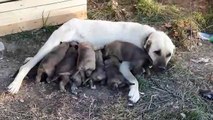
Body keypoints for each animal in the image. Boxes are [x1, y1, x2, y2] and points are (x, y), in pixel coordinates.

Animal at [8, 18, 175, 103]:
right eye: (157, 52)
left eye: (169, 55)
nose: (162, 69)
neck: (146, 36)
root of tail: (70, 21)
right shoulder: (124, 66)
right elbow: (135, 79)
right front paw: (135, 92)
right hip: (52, 43)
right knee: (26, 67)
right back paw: (15, 84)